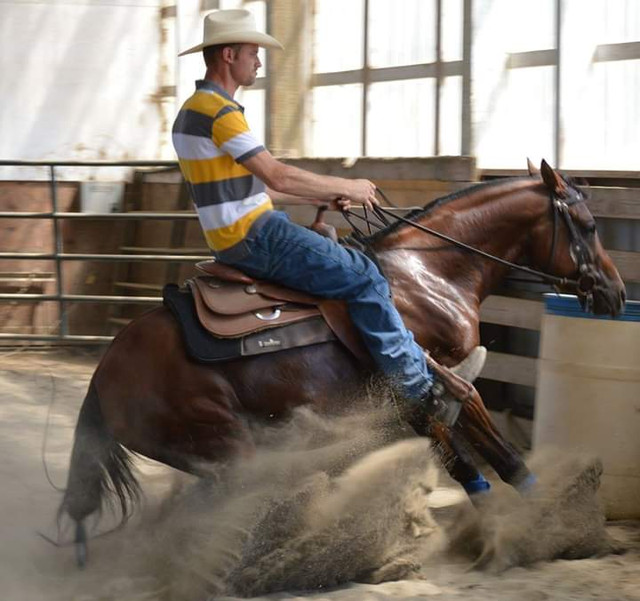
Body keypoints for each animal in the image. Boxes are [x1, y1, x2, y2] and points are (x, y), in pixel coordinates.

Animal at [58, 161, 624, 564]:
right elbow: (490, 459)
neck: (429, 274)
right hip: (226, 445)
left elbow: (486, 464)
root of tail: (104, 374)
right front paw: (546, 531)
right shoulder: (433, 389)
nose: (616, 294)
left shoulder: (434, 399)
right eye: (589, 225)